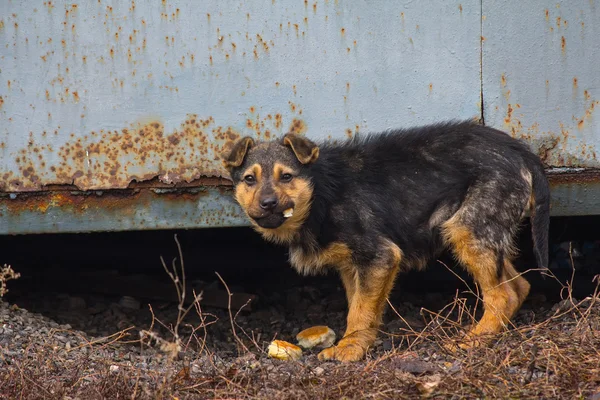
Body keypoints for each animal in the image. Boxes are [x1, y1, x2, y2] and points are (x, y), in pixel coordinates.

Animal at [221, 119, 548, 362]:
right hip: (485, 234)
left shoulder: (379, 256)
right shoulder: (353, 267)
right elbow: (360, 304)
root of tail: (522, 152)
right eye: (249, 179)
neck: (320, 193)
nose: (268, 204)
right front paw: (358, 343)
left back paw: (475, 340)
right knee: (519, 286)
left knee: (502, 295)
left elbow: (361, 311)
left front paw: (349, 350)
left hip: (469, 228)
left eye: (287, 177)